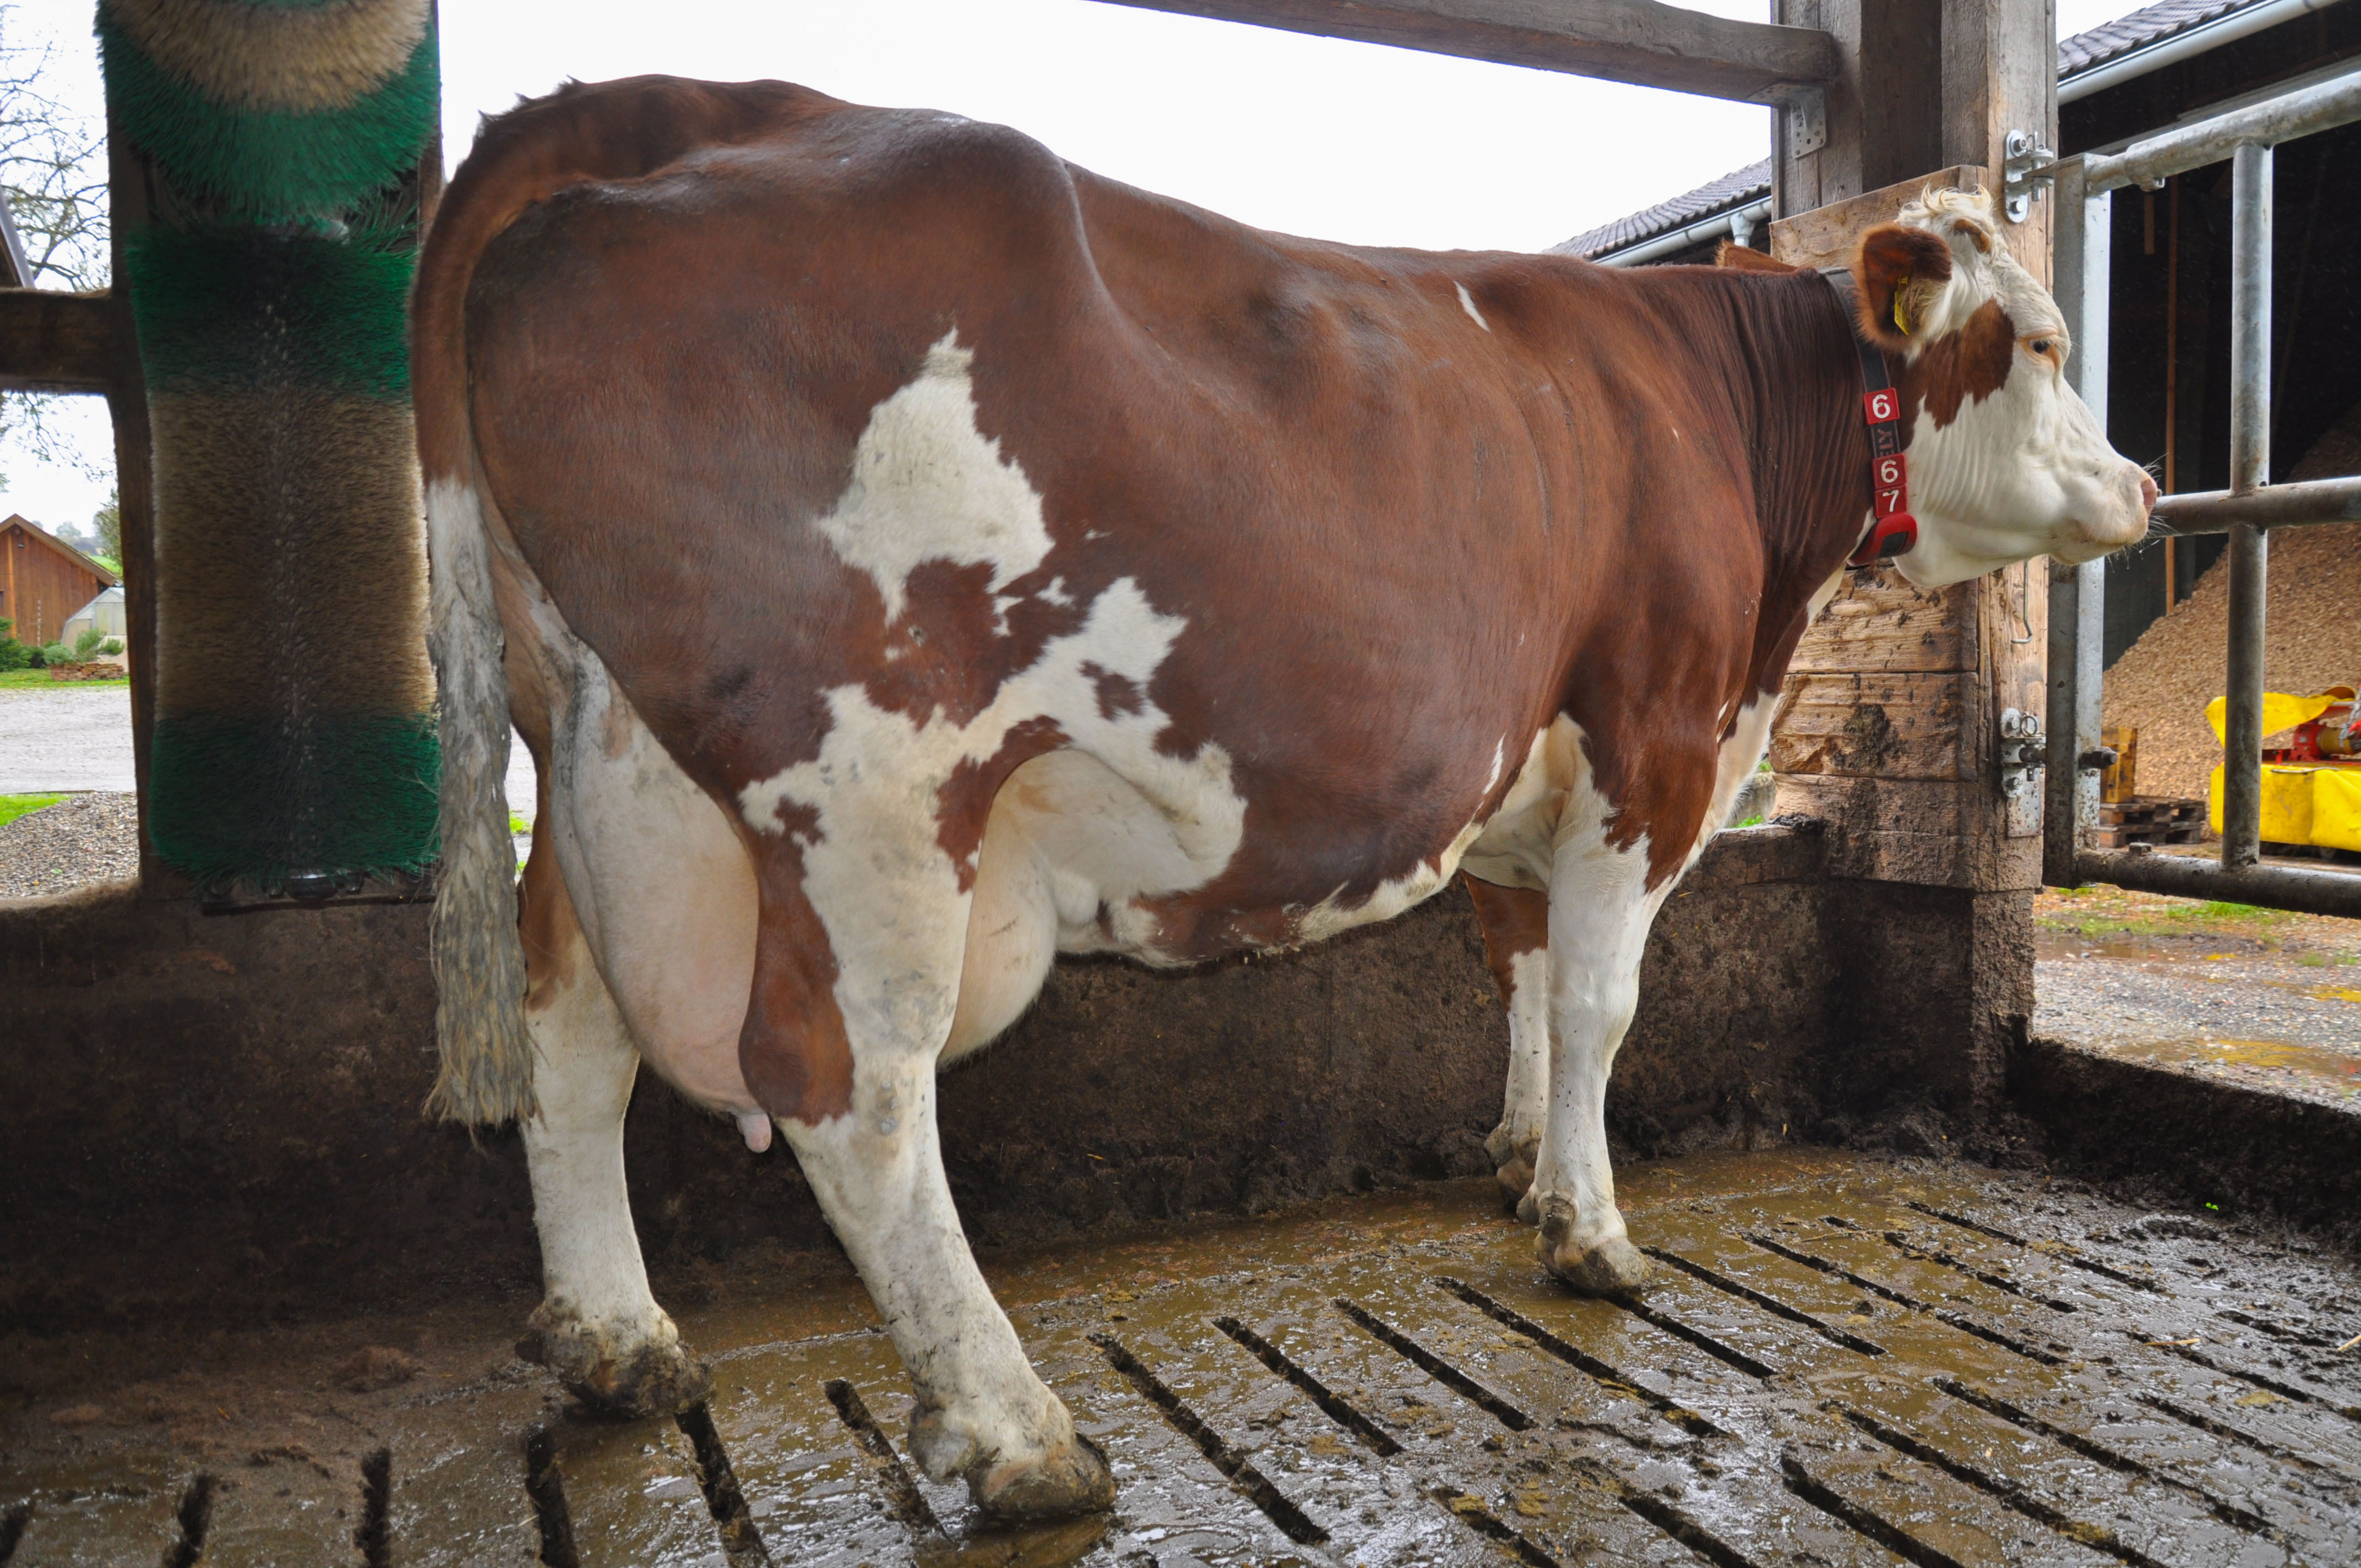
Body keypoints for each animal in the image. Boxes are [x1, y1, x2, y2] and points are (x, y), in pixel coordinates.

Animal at [415, 77, 2153, 1521]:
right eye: (2044, 345)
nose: (2141, 484)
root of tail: (678, 101)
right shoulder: (1655, 737)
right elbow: (1599, 1002)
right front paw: (1592, 1231)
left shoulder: (1522, 772)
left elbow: (1519, 971)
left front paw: (1519, 1159)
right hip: (867, 785)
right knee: (849, 1080)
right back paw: (1016, 1430)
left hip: (603, 750)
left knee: (573, 1026)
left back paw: (617, 1337)